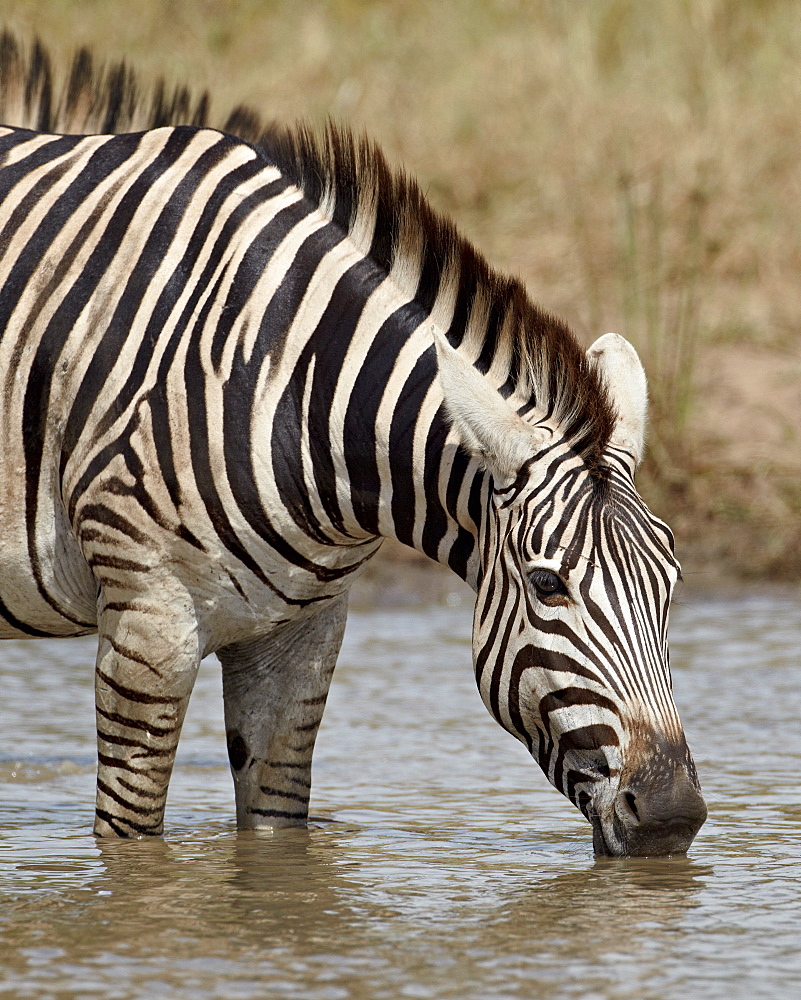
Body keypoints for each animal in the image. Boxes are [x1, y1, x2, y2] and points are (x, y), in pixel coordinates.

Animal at [0, 35, 708, 856]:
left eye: (672, 581)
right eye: (546, 585)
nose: (670, 818)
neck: (286, 380)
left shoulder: (301, 638)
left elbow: (277, 837)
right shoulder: (148, 630)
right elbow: (132, 848)